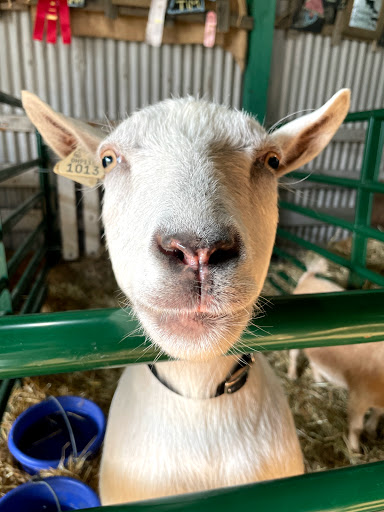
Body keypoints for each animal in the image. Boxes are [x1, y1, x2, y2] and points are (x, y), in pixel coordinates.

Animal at [290, 260, 382, 452]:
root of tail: (309, 277)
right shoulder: (359, 395)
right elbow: (356, 427)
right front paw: (354, 451)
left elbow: (377, 413)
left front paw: (372, 431)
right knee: (293, 354)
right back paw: (292, 375)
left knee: (314, 362)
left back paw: (319, 381)